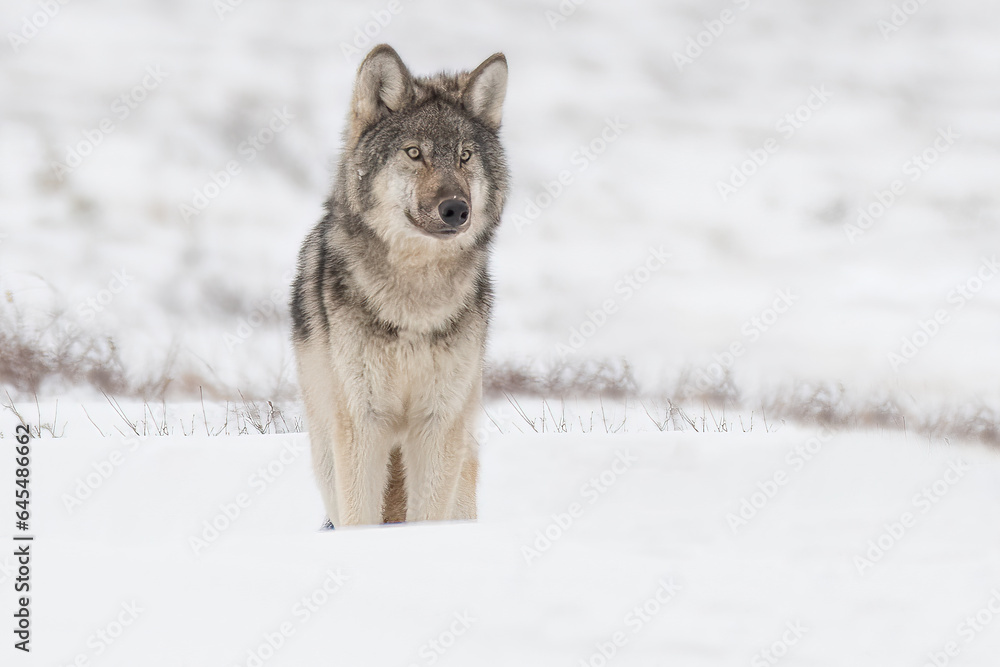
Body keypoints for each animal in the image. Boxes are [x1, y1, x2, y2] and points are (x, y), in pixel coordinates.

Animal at [290, 45, 509, 527]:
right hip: (325, 448)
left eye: (465, 156)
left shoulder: (439, 422)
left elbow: (427, 513)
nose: (456, 209)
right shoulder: (362, 420)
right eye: (414, 153)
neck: (414, 303)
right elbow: (360, 515)